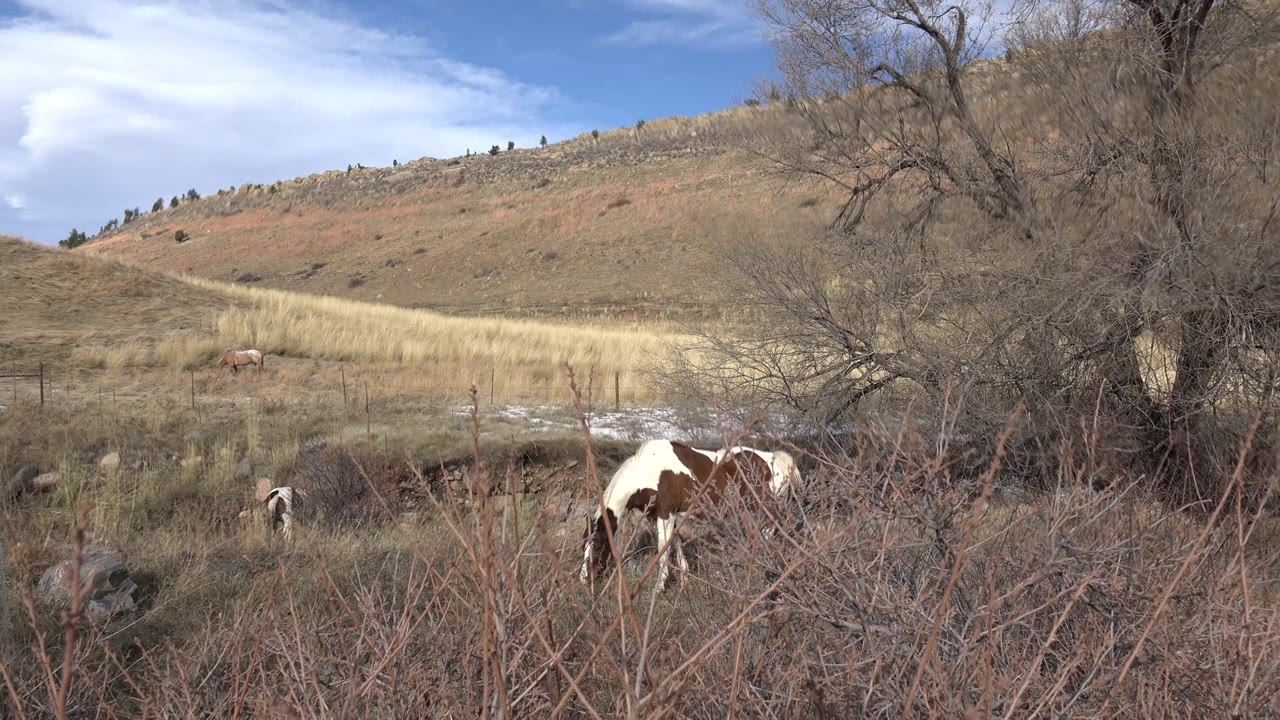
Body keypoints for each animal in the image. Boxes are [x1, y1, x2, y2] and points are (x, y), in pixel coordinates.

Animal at [579, 440, 802, 590]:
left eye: (597, 545)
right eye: (583, 546)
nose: (584, 580)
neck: (648, 471)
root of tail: (775, 460)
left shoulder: (665, 515)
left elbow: (663, 550)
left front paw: (660, 587)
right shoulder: (667, 517)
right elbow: (675, 544)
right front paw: (684, 580)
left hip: (766, 512)